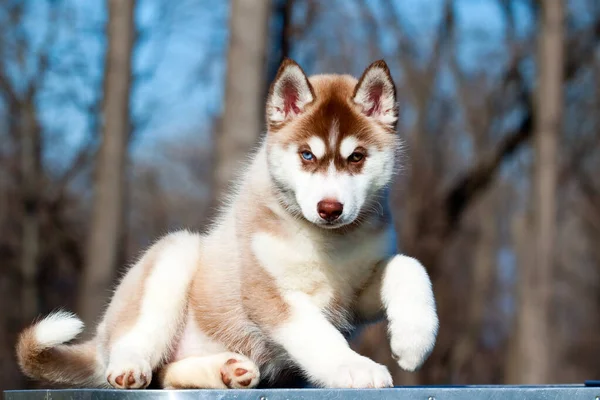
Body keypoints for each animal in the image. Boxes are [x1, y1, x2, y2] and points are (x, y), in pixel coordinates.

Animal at [16, 58, 438, 388]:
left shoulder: (355, 298)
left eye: (356, 157)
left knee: (166, 373)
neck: (327, 242)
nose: (330, 208)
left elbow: (409, 265)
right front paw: (354, 367)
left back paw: (227, 370)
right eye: (306, 155)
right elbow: (318, 335)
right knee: (135, 345)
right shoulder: (268, 294)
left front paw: (413, 340)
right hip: (175, 254)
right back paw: (130, 367)